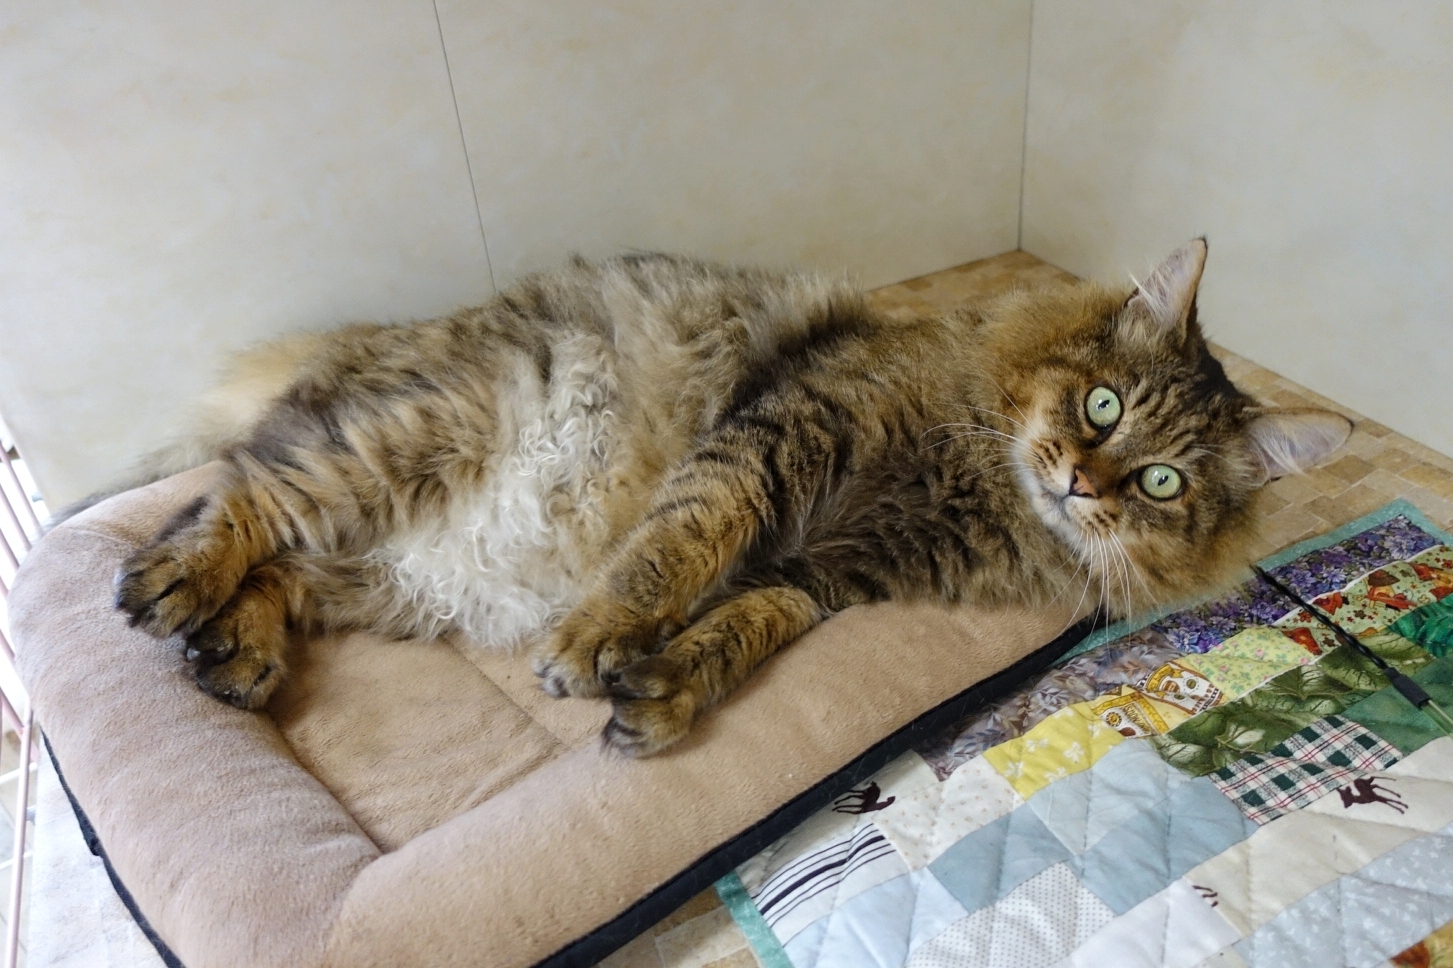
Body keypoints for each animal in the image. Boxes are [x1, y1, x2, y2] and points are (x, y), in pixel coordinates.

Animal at [111, 239, 1350, 756]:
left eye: (1160, 481)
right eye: (1101, 406)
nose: (1079, 480)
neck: (979, 482)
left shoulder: (829, 573)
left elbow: (745, 622)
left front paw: (659, 689)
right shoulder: (781, 434)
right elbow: (682, 544)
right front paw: (599, 637)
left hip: (392, 571)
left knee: (280, 566)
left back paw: (236, 654)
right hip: (403, 444)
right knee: (237, 499)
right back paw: (176, 587)